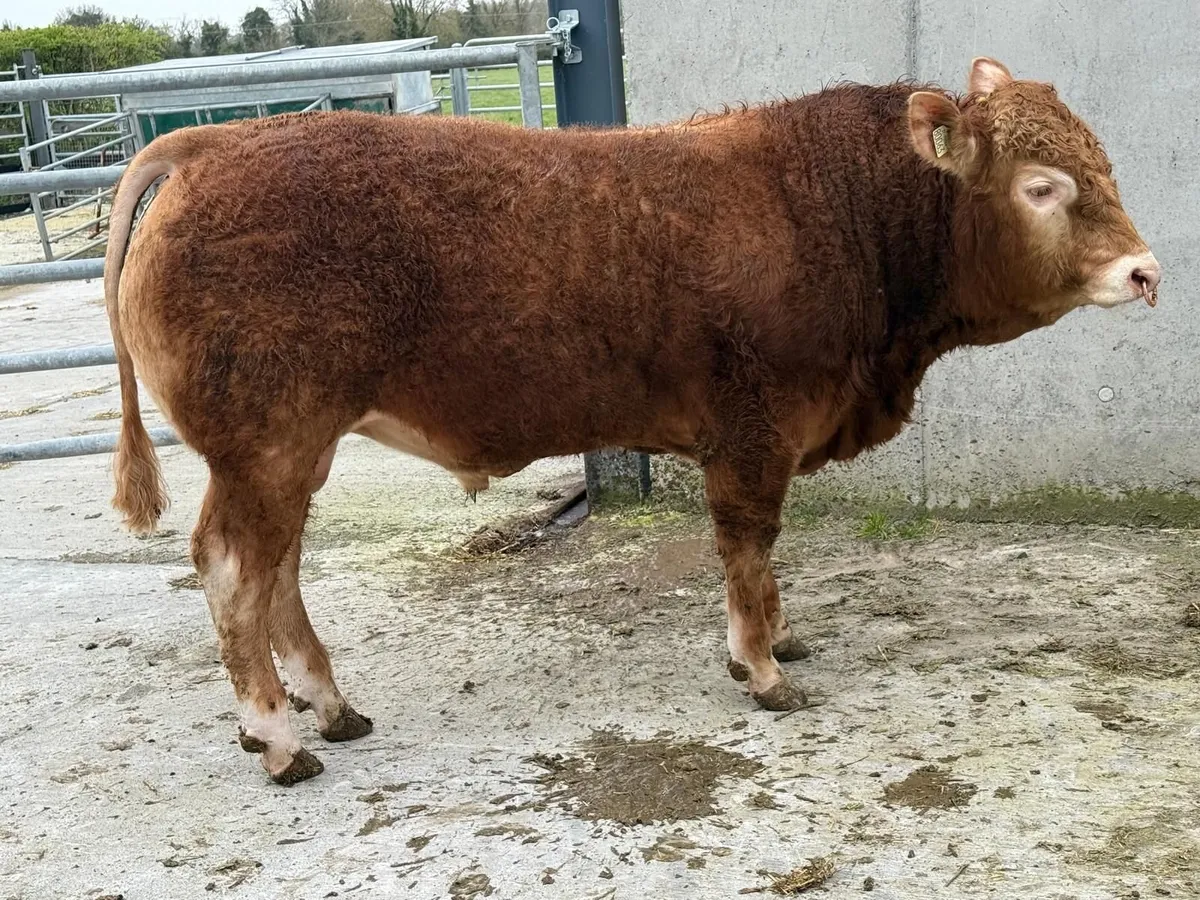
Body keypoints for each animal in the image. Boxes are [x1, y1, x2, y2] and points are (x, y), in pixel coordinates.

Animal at [101, 57, 1159, 784]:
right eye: (1042, 186)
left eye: (1105, 163)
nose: (1145, 271)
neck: (835, 214)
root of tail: (211, 142)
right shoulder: (752, 431)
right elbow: (748, 546)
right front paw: (763, 668)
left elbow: (764, 558)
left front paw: (782, 638)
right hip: (268, 442)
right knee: (234, 569)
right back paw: (280, 739)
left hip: (293, 448)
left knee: (277, 571)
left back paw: (330, 708)